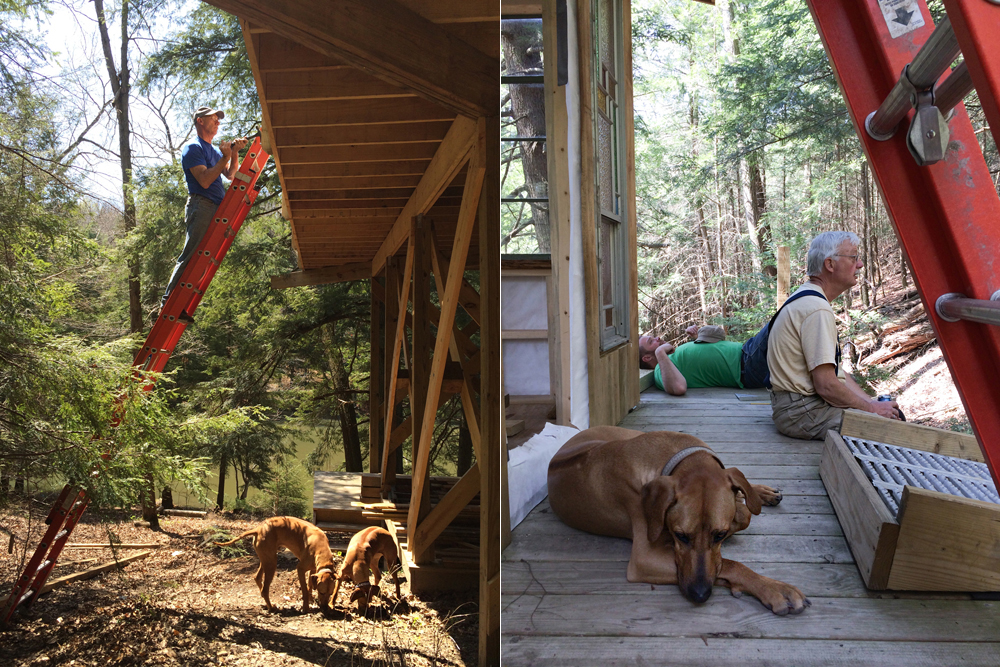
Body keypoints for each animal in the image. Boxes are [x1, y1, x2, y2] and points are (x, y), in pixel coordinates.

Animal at [548, 428, 812, 616]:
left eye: (719, 535)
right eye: (680, 535)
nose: (700, 594)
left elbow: (741, 515)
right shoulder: (645, 559)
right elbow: (729, 563)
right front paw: (773, 588)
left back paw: (760, 492)